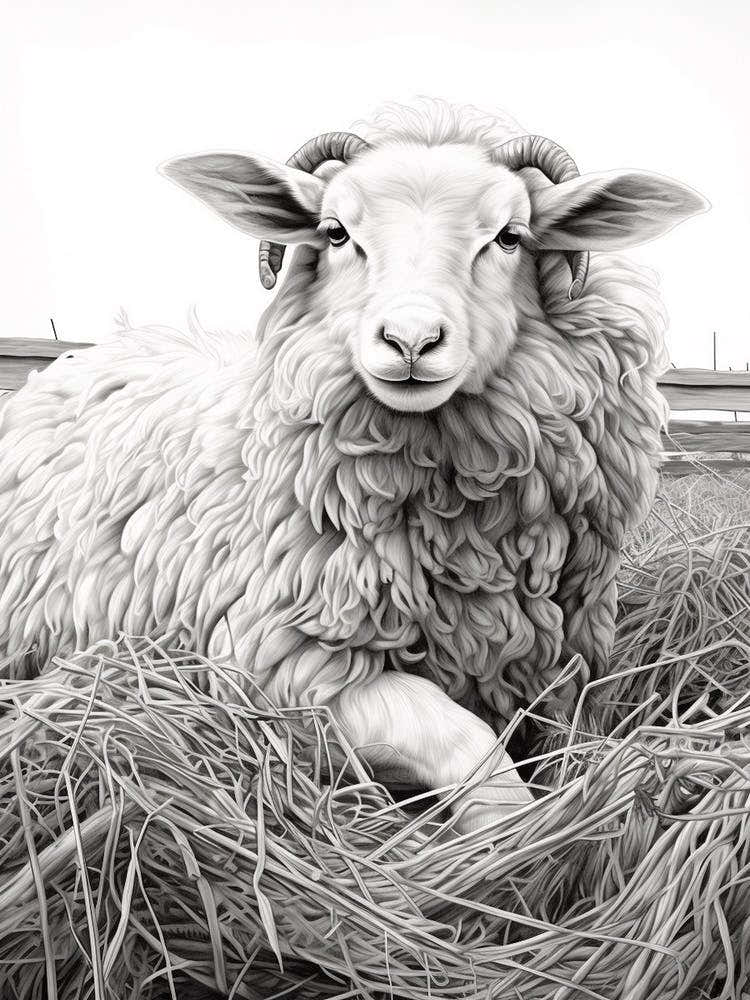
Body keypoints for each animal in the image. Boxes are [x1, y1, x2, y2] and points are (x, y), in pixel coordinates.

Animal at [0, 99, 707, 833]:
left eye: (510, 237)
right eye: (337, 234)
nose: (410, 340)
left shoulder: (563, 664)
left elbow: (576, 744)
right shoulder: (278, 669)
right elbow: (469, 751)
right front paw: (511, 849)